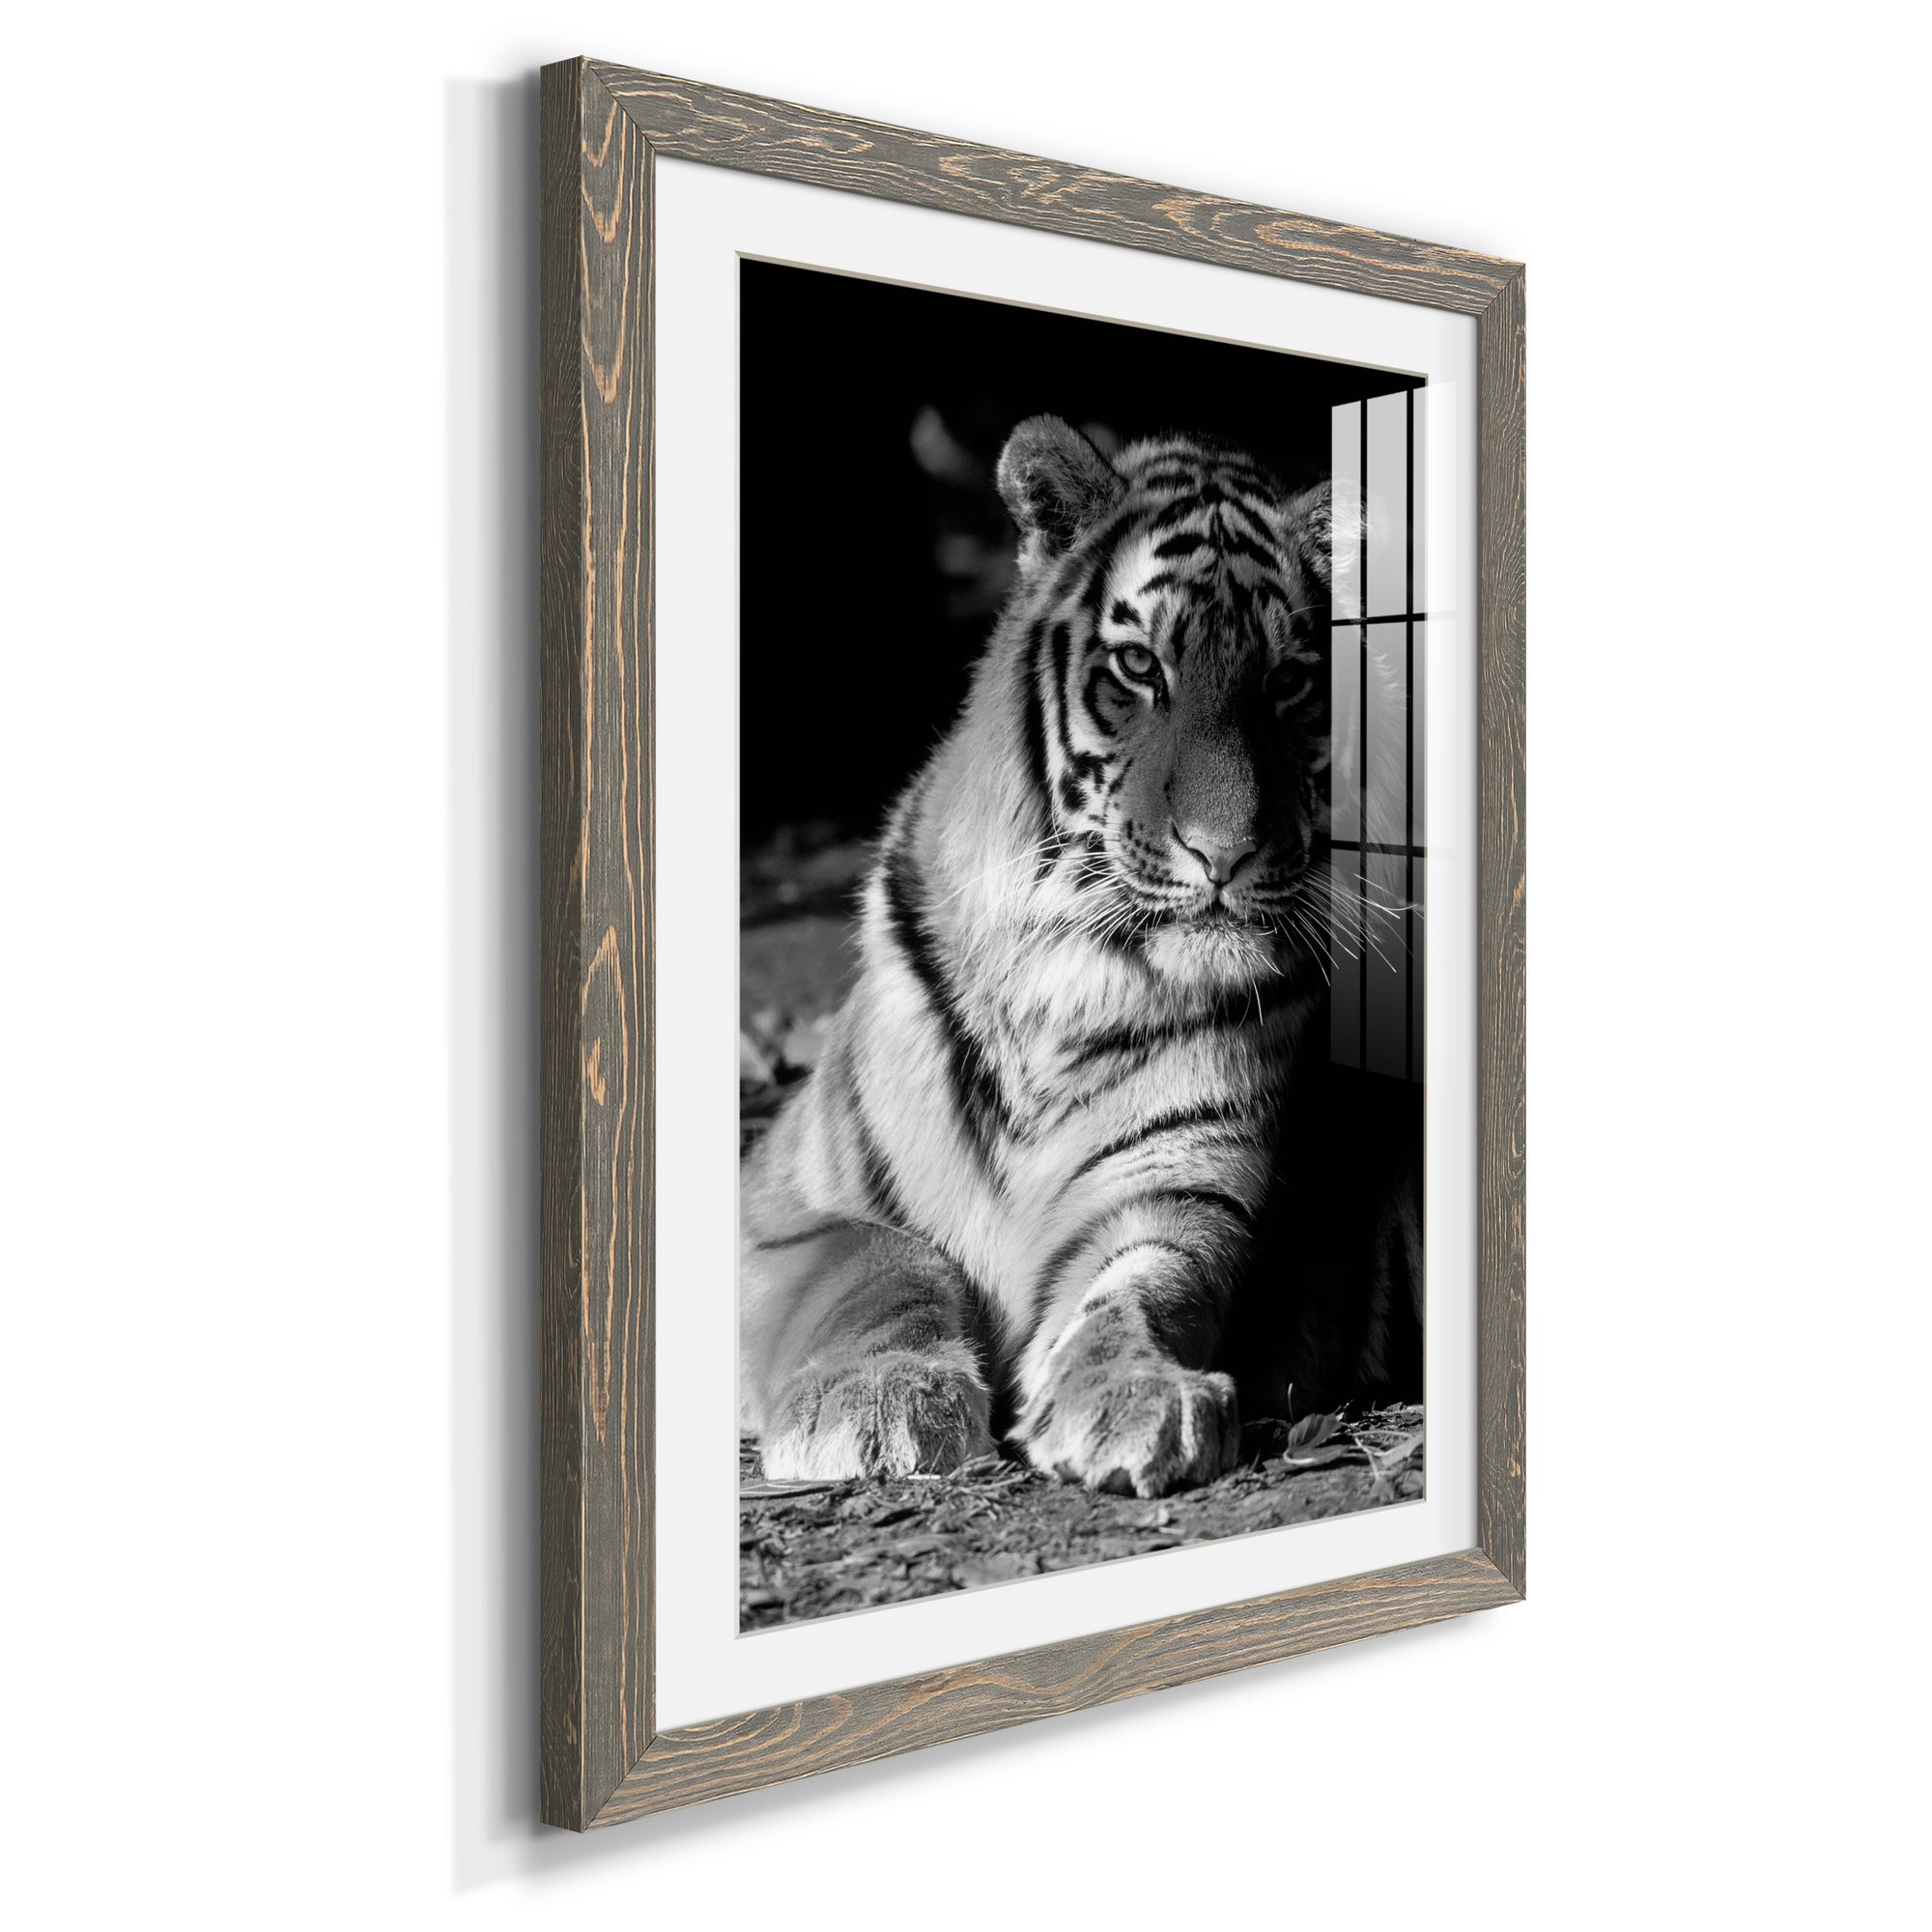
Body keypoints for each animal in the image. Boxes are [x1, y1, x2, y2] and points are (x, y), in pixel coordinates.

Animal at [739, 415, 1421, 1499]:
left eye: (1287, 682)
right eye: (1140, 668)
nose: (1225, 853)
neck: (1071, 979)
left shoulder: (1174, 1192)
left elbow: (1137, 1291)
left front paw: (1135, 1396)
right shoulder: (779, 1205)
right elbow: (879, 1261)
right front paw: (880, 1398)